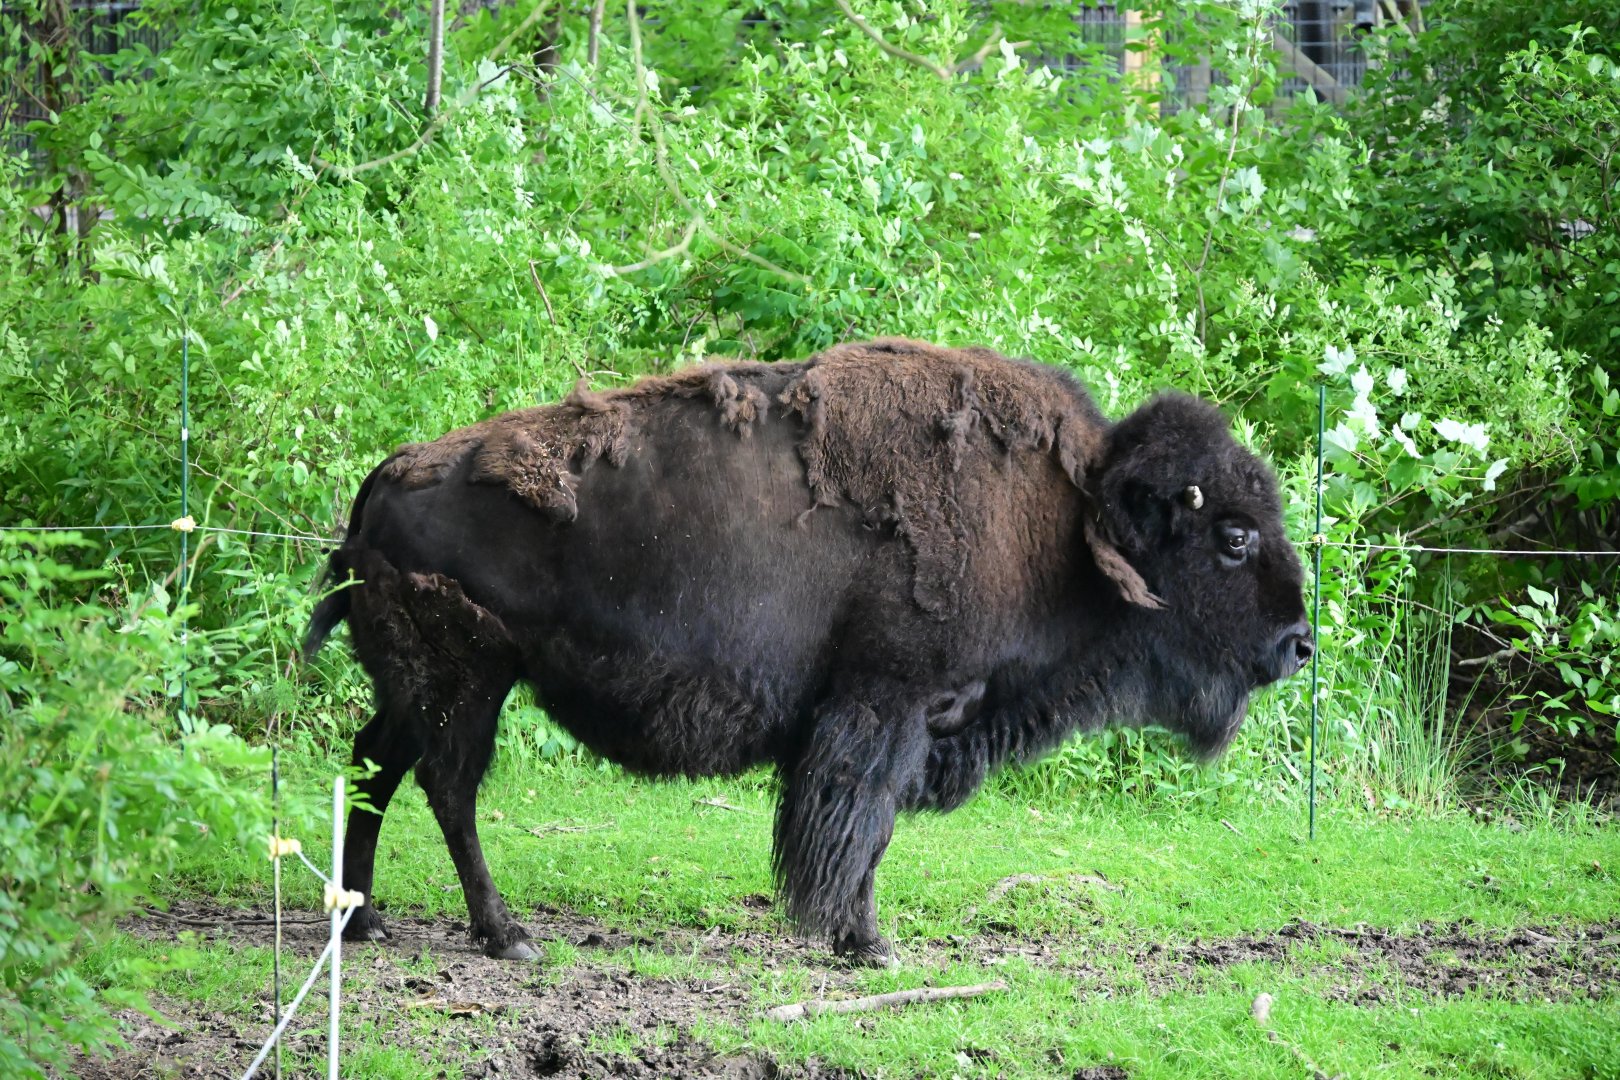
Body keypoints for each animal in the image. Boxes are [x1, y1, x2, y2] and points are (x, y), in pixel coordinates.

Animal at [303, 338, 1312, 966]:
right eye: (1233, 537)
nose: (1299, 643)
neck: (1067, 525)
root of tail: (386, 476)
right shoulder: (885, 708)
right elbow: (860, 826)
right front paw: (864, 943)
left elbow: (866, 829)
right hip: (468, 680)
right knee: (450, 787)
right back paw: (503, 933)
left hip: (423, 686)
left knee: (375, 765)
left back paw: (365, 921)